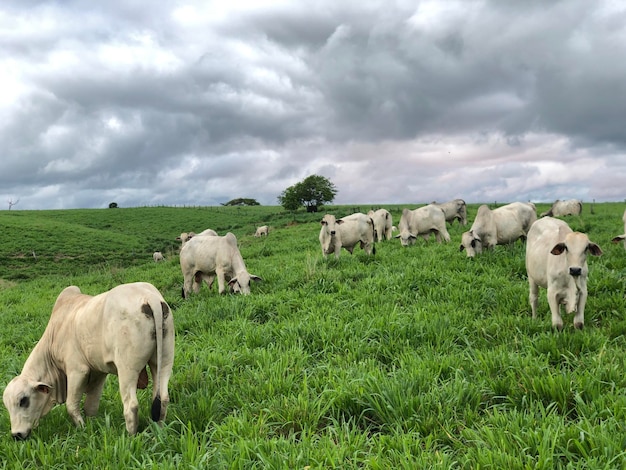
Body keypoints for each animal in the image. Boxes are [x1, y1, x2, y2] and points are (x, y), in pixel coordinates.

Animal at [3, 280, 173, 438]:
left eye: (23, 400)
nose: (16, 435)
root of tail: (150, 297)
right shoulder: (98, 372)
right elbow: (91, 406)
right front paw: (92, 426)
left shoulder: (77, 371)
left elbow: (71, 406)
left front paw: (82, 429)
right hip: (164, 361)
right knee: (162, 399)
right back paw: (159, 432)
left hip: (127, 369)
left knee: (131, 405)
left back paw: (131, 437)